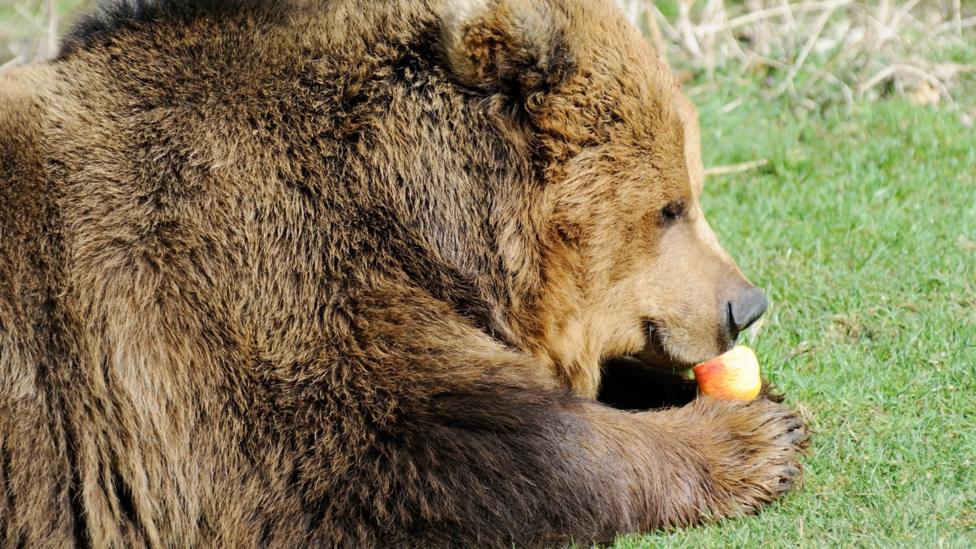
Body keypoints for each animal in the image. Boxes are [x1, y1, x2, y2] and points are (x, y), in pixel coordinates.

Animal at [0, 0, 808, 546]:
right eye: (671, 205)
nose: (745, 304)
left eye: (692, 188)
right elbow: (428, 447)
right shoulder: (239, 293)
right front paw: (753, 437)